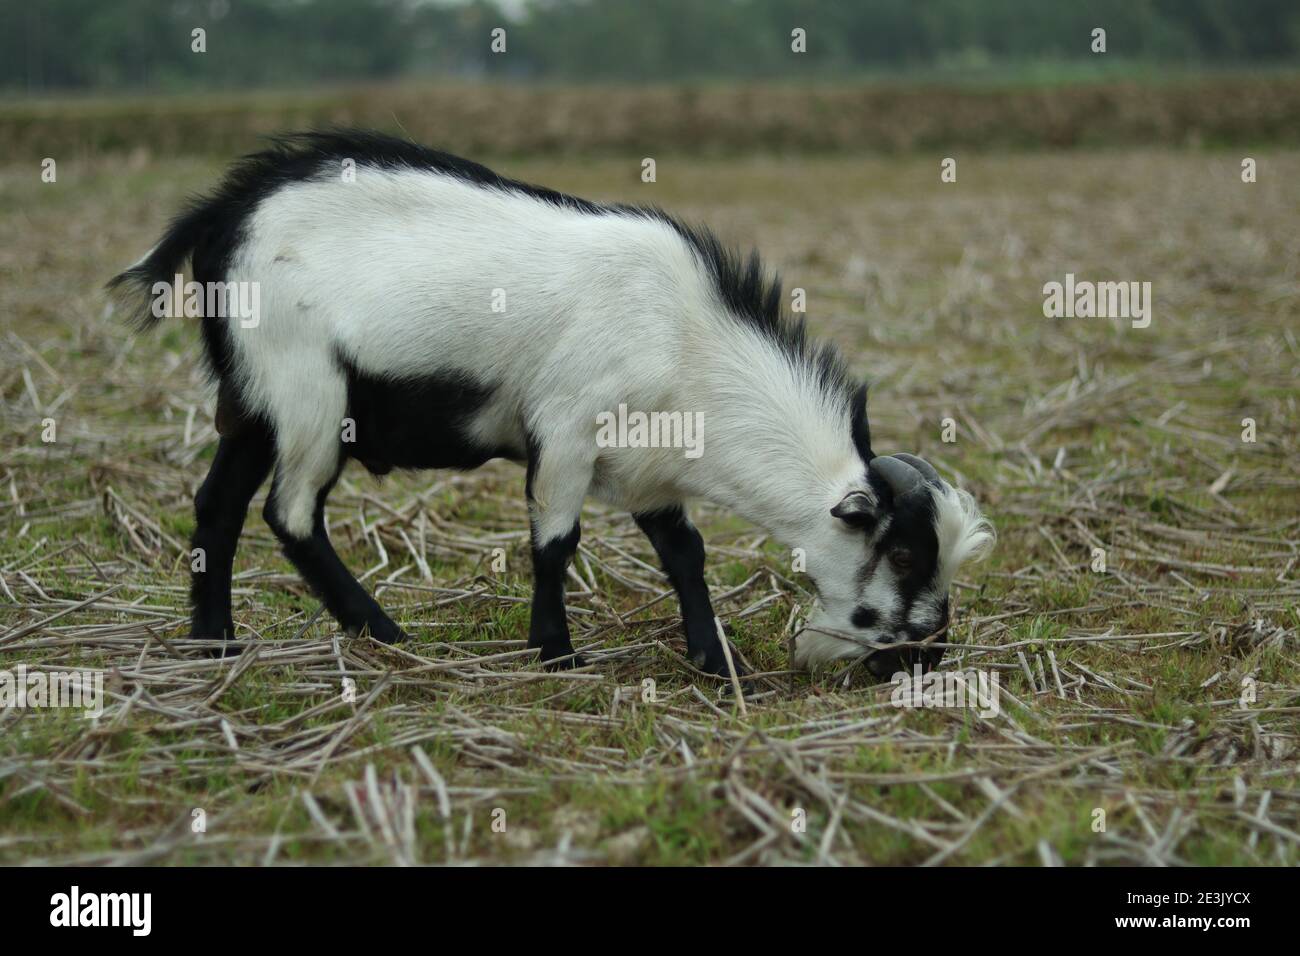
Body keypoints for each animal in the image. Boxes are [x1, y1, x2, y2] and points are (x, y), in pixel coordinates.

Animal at [109, 129, 993, 679]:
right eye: (903, 554)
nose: (924, 658)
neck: (689, 342)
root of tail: (225, 212)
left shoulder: (650, 466)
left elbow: (685, 555)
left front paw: (713, 661)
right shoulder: (566, 430)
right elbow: (555, 544)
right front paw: (557, 655)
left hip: (251, 399)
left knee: (218, 505)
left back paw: (215, 644)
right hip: (306, 390)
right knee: (290, 513)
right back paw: (385, 632)